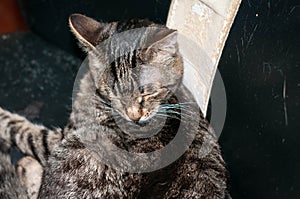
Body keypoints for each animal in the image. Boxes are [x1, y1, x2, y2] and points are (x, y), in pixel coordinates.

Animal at [0, 13, 230, 197]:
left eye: (146, 92)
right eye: (113, 94)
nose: (134, 117)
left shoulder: (62, 136)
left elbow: (24, 132)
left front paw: (3, 118)